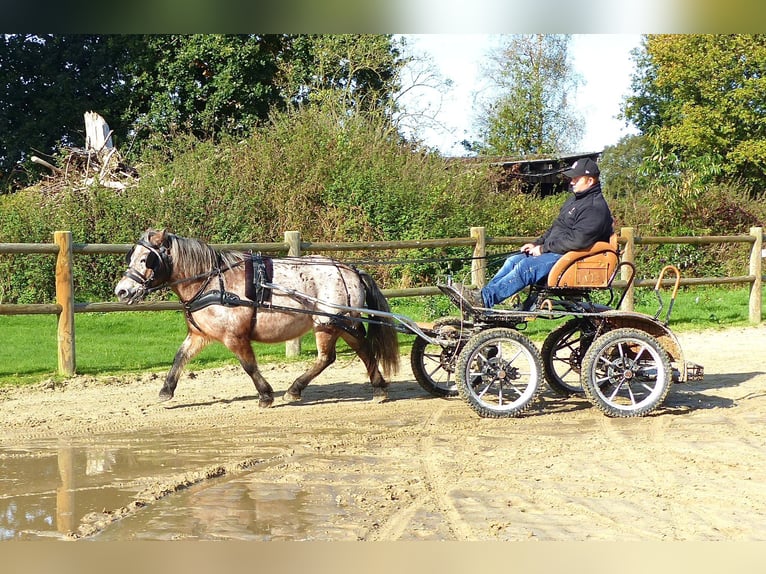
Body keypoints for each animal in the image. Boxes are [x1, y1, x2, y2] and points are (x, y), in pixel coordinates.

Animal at [115, 227, 402, 408]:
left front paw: (265, 395)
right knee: (361, 350)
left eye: (146, 259)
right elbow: (180, 357)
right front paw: (166, 390)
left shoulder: (235, 336)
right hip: (341, 323)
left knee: (328, 357)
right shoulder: (199, 334)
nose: (122, 291)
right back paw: (378, 388)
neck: (212, 282)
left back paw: (295, 389)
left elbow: (249, 366)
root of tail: (350, 270)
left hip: (329, 324)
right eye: (133, 257)